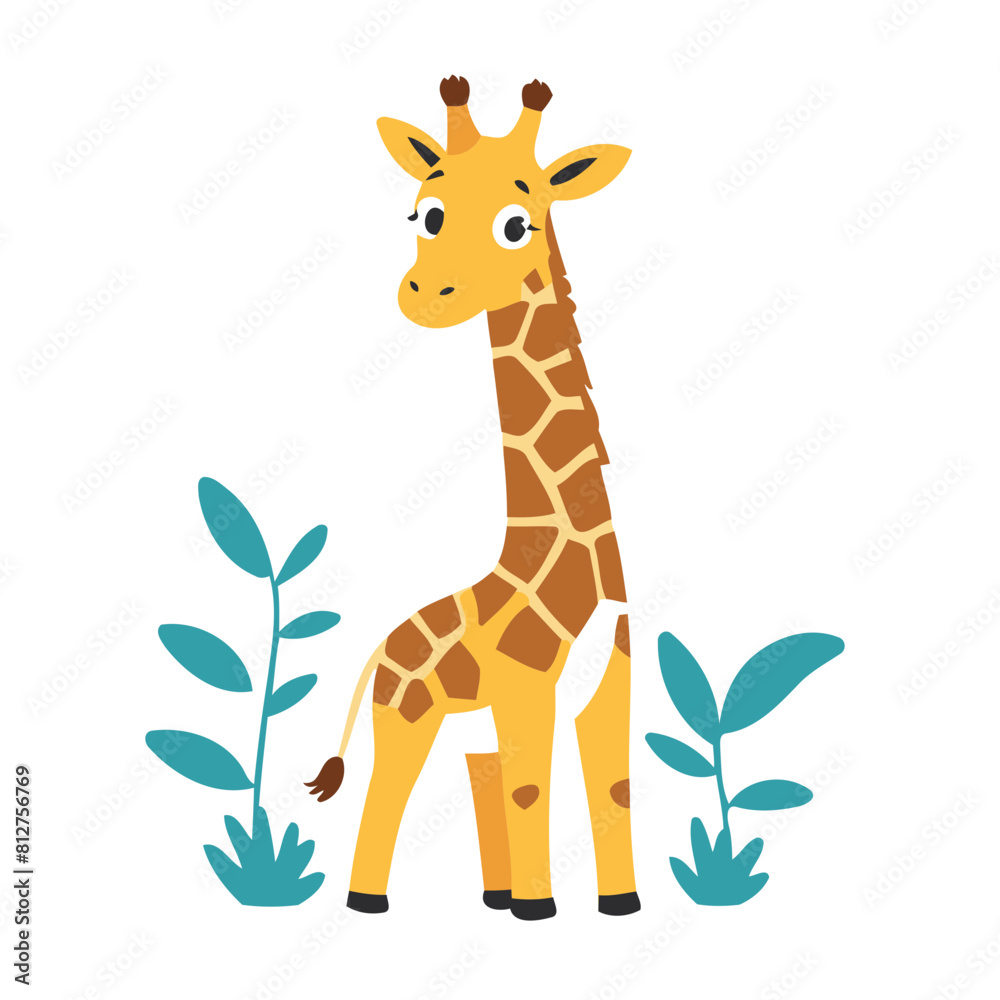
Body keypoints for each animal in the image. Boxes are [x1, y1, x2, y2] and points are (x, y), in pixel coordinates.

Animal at [306, 76, 638, 921]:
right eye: (425, 212)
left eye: (517, 223)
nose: (426, 294)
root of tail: (380, 648)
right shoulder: (528, 690)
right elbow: (532, 792)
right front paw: (540, 910)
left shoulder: (609, 684)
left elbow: (612, 790)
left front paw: (618, 905)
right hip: (405, 716)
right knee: (386, 795)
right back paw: (370, 902)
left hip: (466, 728)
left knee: (477, 785)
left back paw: (493, 896)